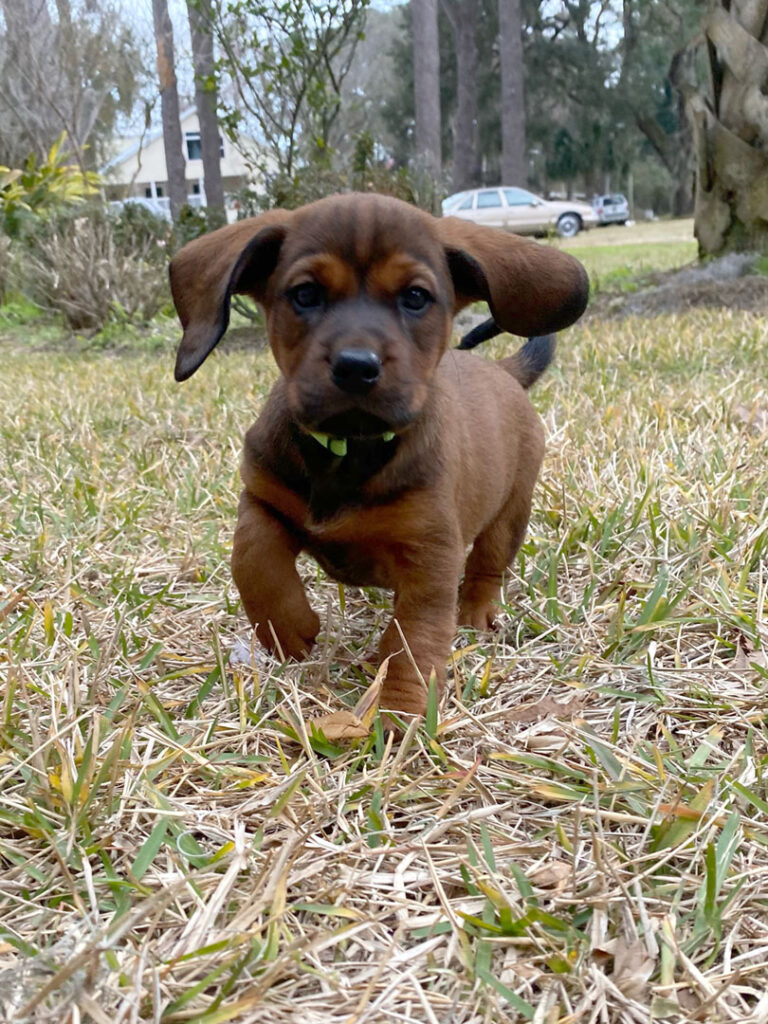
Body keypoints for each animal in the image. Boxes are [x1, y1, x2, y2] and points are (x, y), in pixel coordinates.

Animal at [169, 193, 589, 720]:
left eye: (415, 297)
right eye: (305, 294)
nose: (355, 367)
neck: (349, 451)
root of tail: (504, 372)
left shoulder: (430, 558)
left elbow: (414, 640)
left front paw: (400, 711)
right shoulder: (262, 496)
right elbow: (252, 557)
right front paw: (288, 628)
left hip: (509, 512)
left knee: (487, 567)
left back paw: (476, 613)